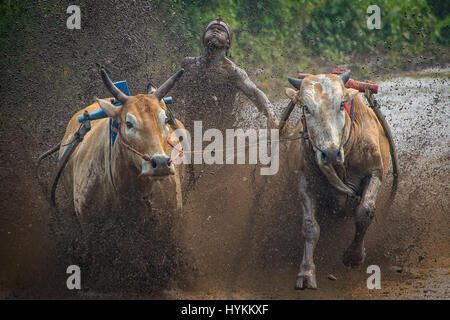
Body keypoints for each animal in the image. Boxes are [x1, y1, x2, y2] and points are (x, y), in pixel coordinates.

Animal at [284, 72, 398, 290]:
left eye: (340, 105)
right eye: (306, 108)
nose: (330, 153)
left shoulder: (375, 172)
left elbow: (364, 212)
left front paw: (353, 256)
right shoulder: (305, 182)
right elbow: (310, 227)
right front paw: (306, 272)